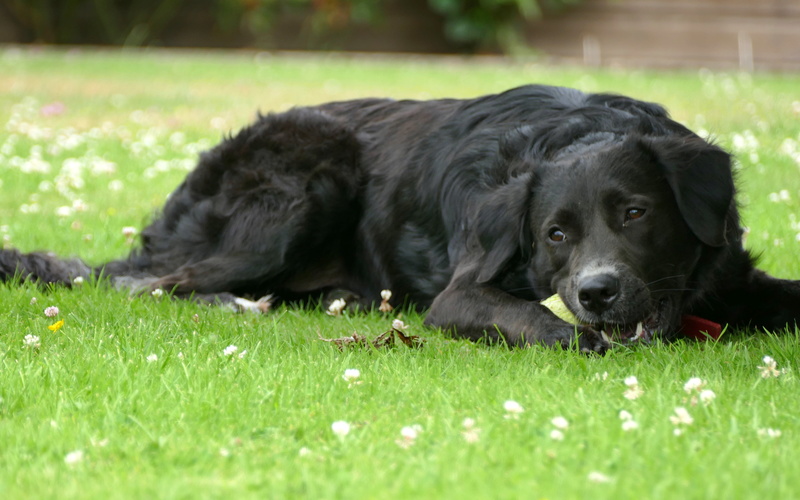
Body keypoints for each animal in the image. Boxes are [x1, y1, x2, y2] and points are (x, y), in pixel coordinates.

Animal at [1, 85, 800, 352]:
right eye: (556, 235)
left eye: (635, 213)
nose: (597, 293)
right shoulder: (461, 293)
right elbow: (531, 316)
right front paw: (579, 335)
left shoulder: (731, 275)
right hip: (302, 185)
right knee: (148, 282)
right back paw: (235, 302)